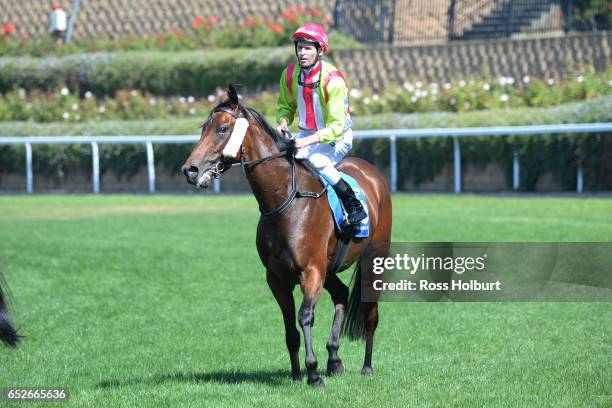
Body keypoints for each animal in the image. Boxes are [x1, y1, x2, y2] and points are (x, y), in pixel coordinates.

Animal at [182, 86, 392, 386]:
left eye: (223, 128)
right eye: (203, 128)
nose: (190, 169)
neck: (285, 202)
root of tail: (371, 173)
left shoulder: (311, 271)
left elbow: (305, 316)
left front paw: (312, 372)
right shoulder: (277, 277)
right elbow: (289, 326)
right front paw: (296, 375)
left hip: (374, 259)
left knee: (370, 312)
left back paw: (366, 366)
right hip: (329, 268)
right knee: (341, 294)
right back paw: (334, 360)